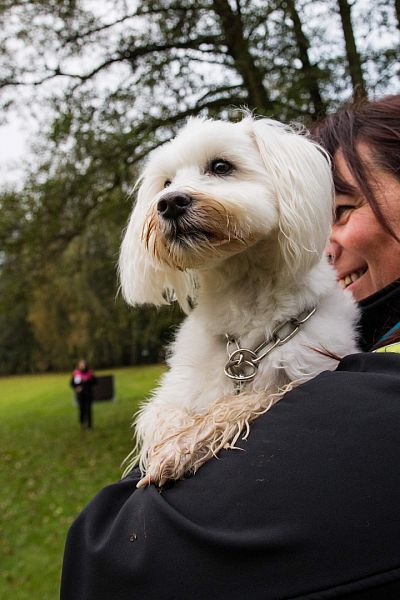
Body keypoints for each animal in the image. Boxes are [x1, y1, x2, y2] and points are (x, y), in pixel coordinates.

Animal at [119, 113, 360, 488]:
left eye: (221, 166)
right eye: (165, 183)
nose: (169, 202)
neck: (243, 289)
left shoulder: (305, 370)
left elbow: (248, 401)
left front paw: (186, 445)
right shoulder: (178, 386)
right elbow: (162, 415)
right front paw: (171, 445)